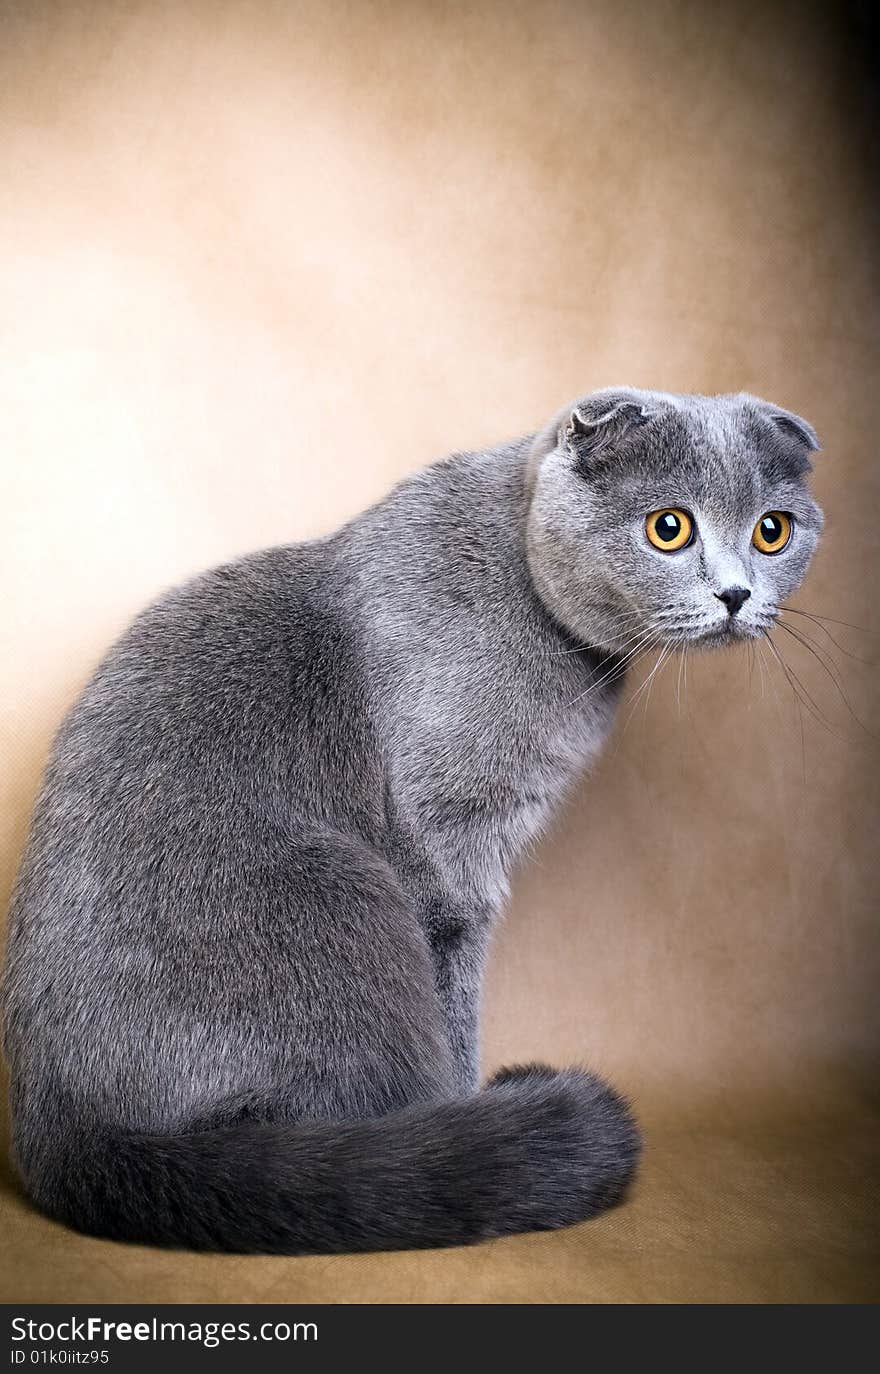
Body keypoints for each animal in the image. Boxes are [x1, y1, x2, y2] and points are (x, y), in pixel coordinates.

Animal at [1, 387, 825, 1258]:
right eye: (669, 528)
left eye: (772, 530)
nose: (736, 595)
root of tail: (65, 1138)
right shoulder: (447, 857)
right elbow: (455, 1007)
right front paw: (464, 1110)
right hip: (343, 893)